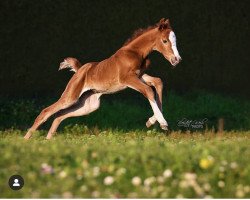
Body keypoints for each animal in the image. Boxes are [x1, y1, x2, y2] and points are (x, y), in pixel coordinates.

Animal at [24, 18, 182, 139]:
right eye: (165, 41)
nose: (177, 60)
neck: (135, 52)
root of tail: (80, 69)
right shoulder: (127, 78)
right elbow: (149, 90)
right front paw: (162, 123)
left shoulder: (140, 75)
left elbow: (158, 82)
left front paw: (152, 121)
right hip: (71, 96)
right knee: (46, 111)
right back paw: (26, 140)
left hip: (88, 105)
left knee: (59, 115)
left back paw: (48, 140)